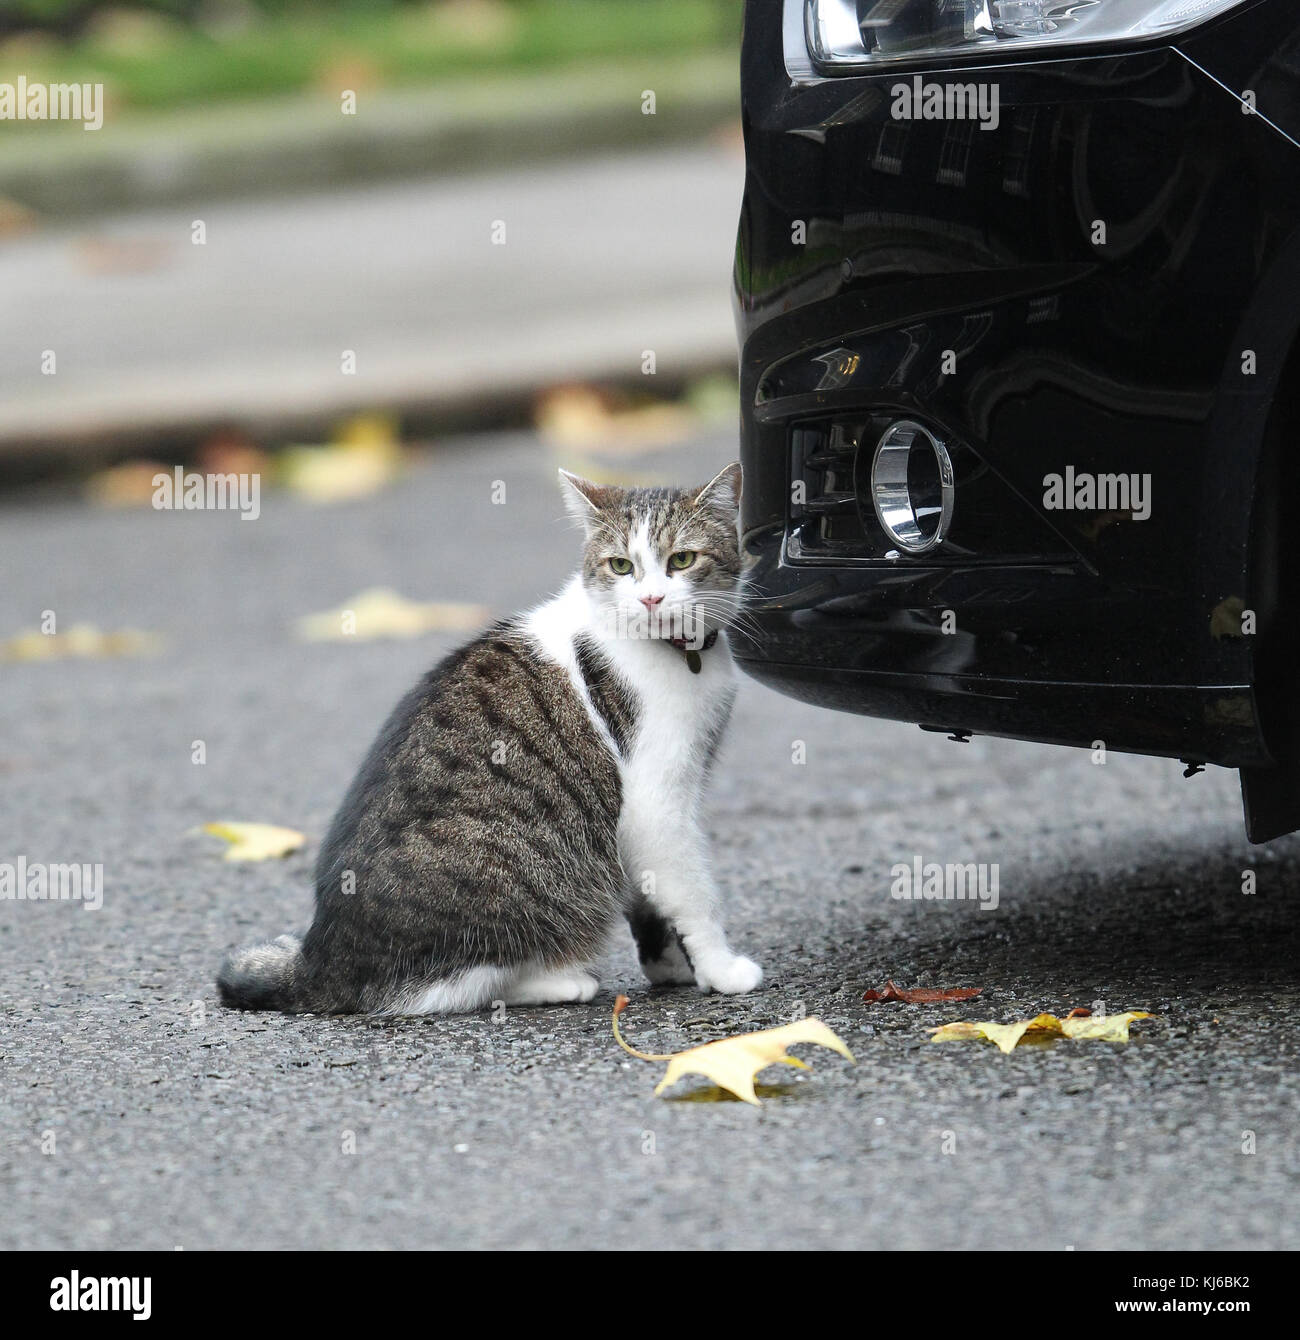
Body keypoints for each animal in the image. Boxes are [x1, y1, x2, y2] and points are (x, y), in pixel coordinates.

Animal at [217, 466, 755, 1007]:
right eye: (621, 566)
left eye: (681, 559)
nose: (651, 599)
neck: (685, 654)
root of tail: (321, 963)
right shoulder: (656, 802)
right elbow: (694, 893)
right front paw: (721, 969)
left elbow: (648, 897)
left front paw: (671, 966)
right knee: (462, 986)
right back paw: (562, 981)